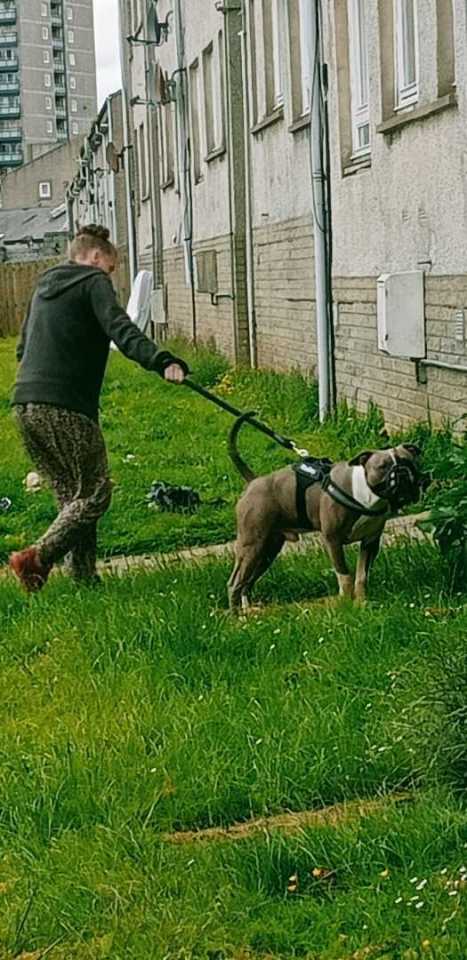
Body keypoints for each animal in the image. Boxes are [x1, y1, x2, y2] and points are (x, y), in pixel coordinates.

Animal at [229, 416, 422, 612]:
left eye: (409, 462)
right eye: (382, 467)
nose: (401, 471)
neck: (366, 494)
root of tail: (253, 482)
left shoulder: (370, 542)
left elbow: (361, 576)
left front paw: (361, 603)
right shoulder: (333, 540)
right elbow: (344, 576)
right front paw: (346, 603)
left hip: (267, 550)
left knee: (247, 581)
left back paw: (249, 610)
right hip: (252, 545)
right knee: (235, 582)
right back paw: (237, 614)